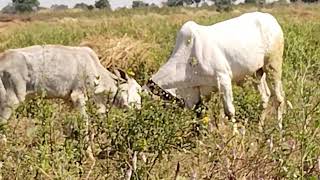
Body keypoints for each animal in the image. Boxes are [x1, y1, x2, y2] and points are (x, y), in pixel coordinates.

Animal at [148, 11, 284, 124]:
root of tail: (270, 19)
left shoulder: (224, 80)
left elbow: (229, 112)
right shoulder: (198, 92)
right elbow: (201, 114)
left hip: (273, 65)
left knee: (279, 99)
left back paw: (279, 130)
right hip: (257, 73)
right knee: (265, 97)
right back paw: (260, 127)